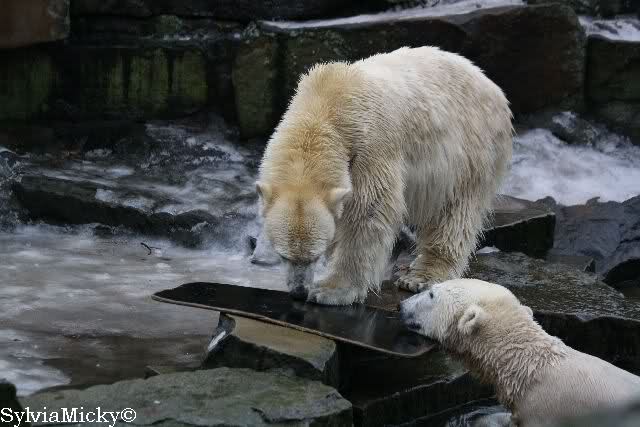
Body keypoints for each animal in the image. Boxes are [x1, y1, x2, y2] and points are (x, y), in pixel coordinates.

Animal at [256, 46, 513, 305]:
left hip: (469, 151)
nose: (298, 292)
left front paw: (331, 289)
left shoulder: (370, 146)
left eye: (314, 255)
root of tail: (493, 88)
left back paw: (420, 276)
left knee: (454, 212)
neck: (324, 105)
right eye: (283, 255)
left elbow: (368, 211)